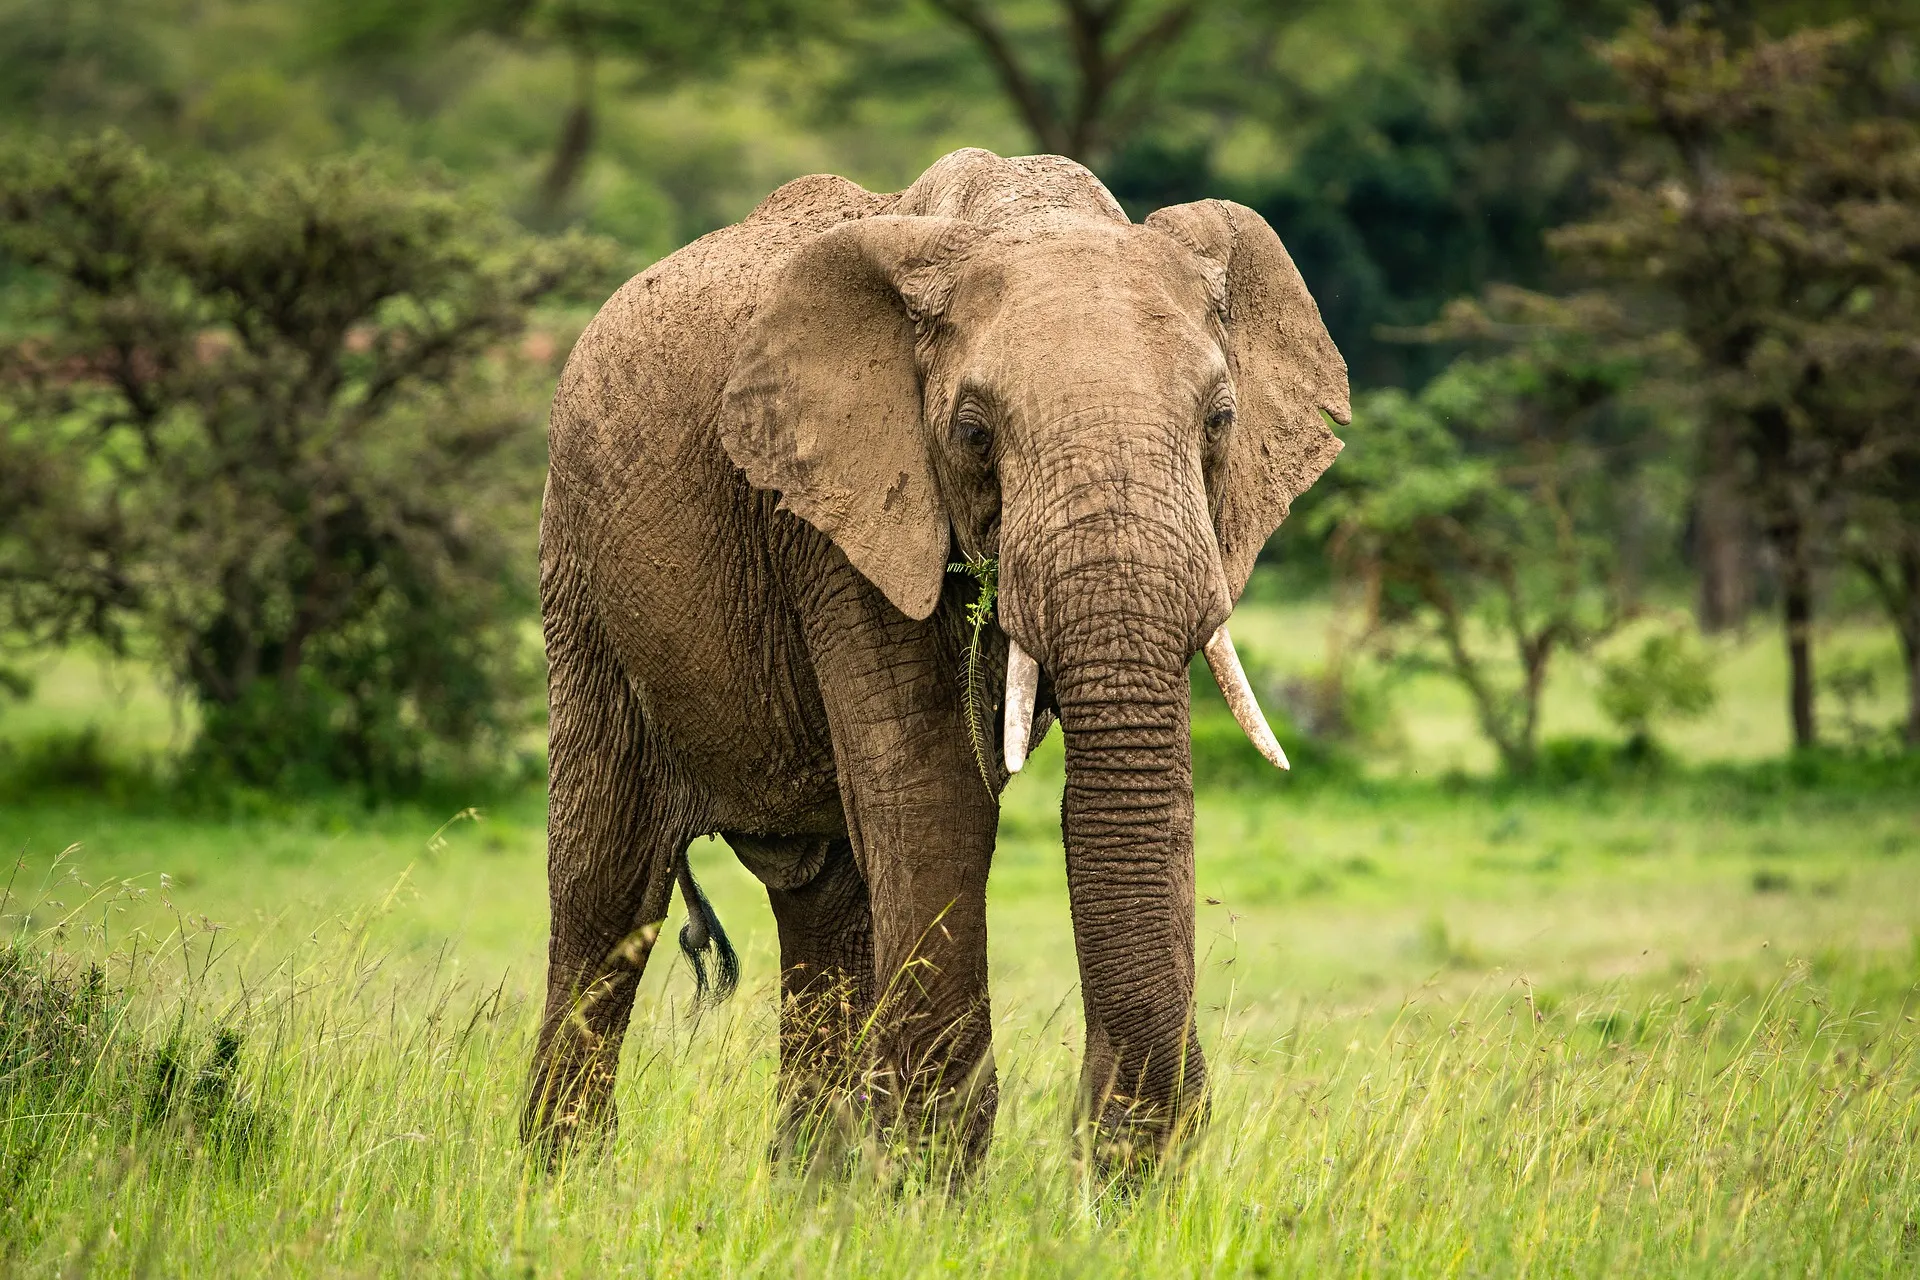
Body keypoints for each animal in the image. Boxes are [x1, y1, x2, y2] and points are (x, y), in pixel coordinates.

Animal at [526, 147, 1351, 1174]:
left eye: (1220, 422)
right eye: (973, 432)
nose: (1108, 1151)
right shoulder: (837, 519)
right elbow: (934, 791)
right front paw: (932, 1178)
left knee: (825, 902)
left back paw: (812, 1191)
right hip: (581, 576)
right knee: (606, 894)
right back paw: (559, 1183)